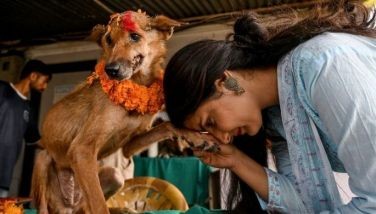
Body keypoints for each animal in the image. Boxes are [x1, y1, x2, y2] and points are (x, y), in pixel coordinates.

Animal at [30, 10, 216, 214]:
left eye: (135, 36)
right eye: (108, 40)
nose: (110, 70)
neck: (137, 83)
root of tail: (67, 208)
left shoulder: (129, 146)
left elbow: (166, 125)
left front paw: (197, 137)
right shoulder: (81, 149)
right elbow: (100, 205)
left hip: (114, 178)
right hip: (42, 162)